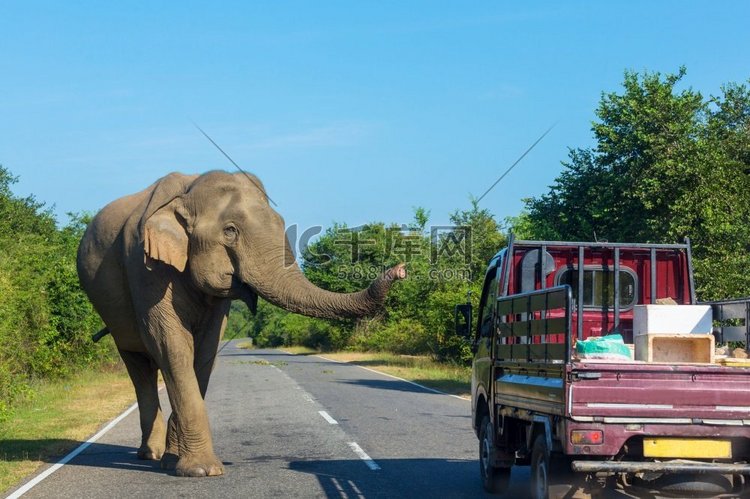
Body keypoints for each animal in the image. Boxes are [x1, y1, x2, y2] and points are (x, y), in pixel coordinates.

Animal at [76, 171, 406, 476]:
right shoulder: (144, 265)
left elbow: (207, 346)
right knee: (139, 366)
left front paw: (176, 460)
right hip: (112, 312)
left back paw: (159, 456)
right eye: (230, 231)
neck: (188, 194)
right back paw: (150, 455)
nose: (401, 269)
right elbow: (169, 340)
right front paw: (201, 471)